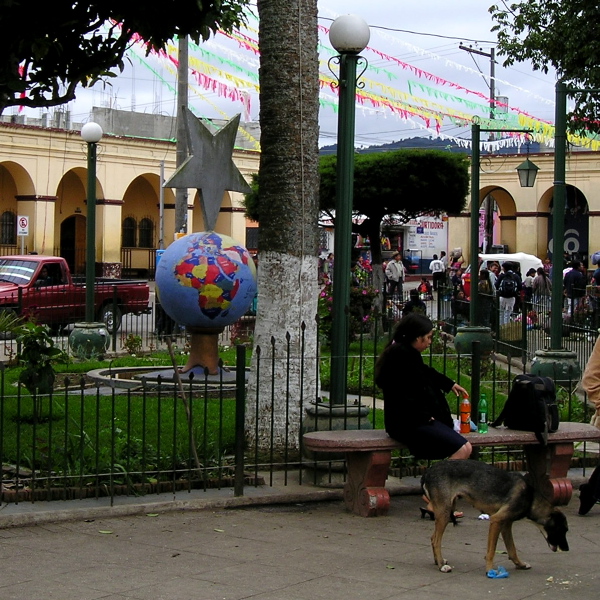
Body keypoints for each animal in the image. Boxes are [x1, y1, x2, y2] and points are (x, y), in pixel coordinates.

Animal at [420, 462, 568, 576]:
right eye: (562, 530)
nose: (566, 549)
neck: (530, 498)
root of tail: (428, 472)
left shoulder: (506, 524)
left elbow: (512, 549)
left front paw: (520, 564)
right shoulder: (496, 520)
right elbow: (491, 551)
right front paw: (489, 570)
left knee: (433, 538)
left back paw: (438, 561)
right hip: (445, 513)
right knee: (436, 540)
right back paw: (441, 565)